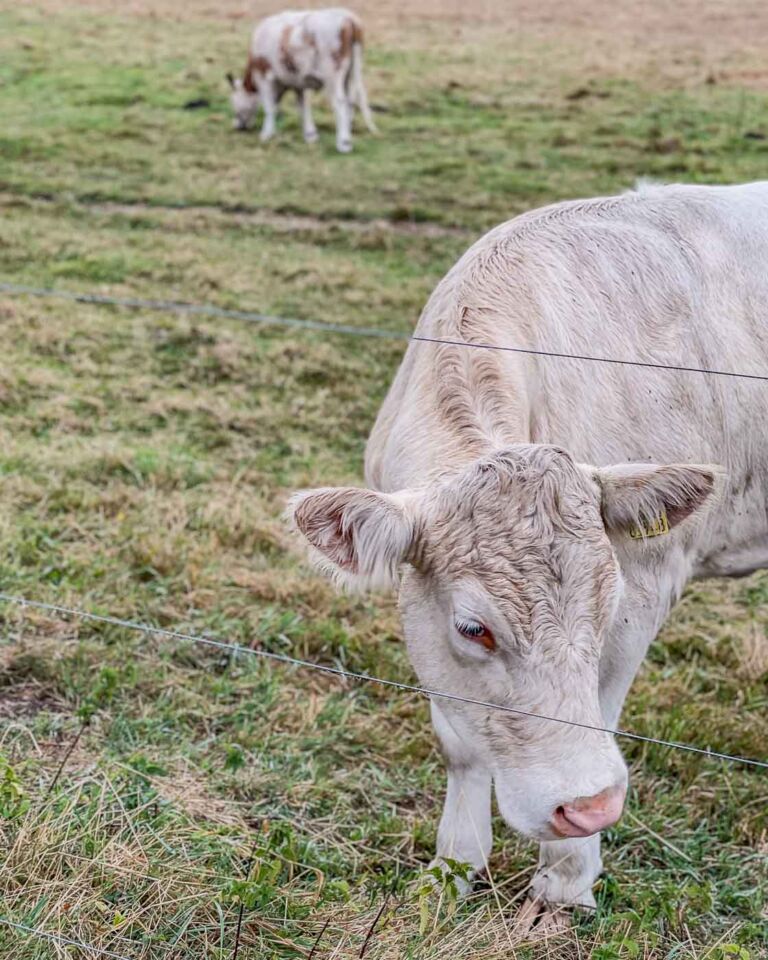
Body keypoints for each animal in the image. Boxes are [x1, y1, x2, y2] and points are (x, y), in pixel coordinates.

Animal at [225, 7, 376, 154]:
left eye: (233, 101)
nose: (236, 125)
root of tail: (348, 17)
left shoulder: (263, 77)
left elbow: (269, 107)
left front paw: (266, 134)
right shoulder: (296, 81)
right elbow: (302, 106)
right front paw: (310, 135)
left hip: (332, 75)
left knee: (340, 102)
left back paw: (344, 143)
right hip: (349, 75)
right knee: (351, 100)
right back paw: (348, 133)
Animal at [288, 182, 768, 928]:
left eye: (606, 606)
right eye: (473, 628)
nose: (589, 806)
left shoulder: (649, 581)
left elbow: (600, 710)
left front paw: (567, 880)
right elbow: (461, 740)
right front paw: (453, 867)